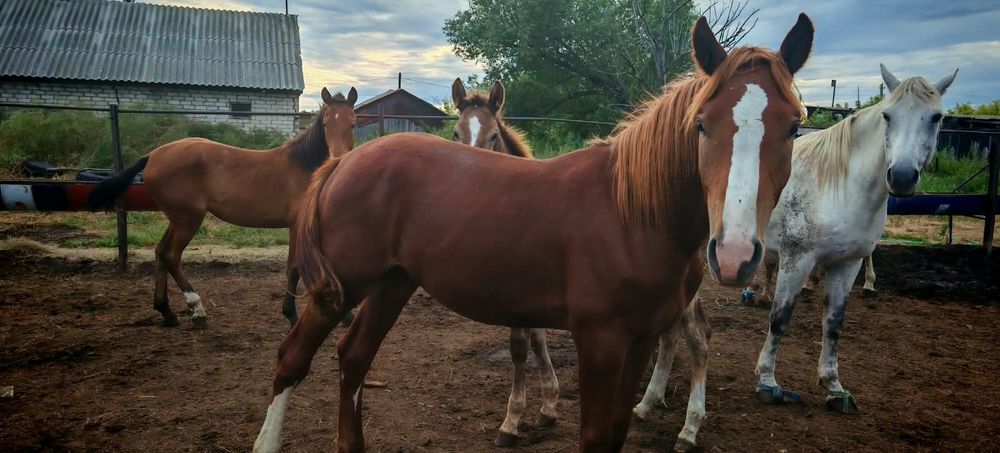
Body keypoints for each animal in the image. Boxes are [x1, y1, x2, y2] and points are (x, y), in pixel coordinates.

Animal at [87, 88, 358, 329]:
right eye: (325, 124)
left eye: (353, 124)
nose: (337, 158)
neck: (308, 169)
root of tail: (153, 155)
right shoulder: (297, 225)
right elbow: (295, 268)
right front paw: (291, 316)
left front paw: (343, 315)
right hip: (188, 220)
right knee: (171, 256)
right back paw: (197, 309)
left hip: (177, 219)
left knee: (160, 253)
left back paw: (167, 312)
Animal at [451, 78, 558, 446]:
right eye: (455, 132)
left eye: (494, 135)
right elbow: (537, 339)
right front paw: (548, 407)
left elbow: (519, 347)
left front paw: (510, 422)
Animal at [636, 65, 957, 447]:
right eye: (887, 115)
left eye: (936, 117)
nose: (903, 176)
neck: (840, 184)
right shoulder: (797, 258)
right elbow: (780, 318)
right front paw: (767, 381)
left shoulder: (847, 264)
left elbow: (833, 323)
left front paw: (833, 386)